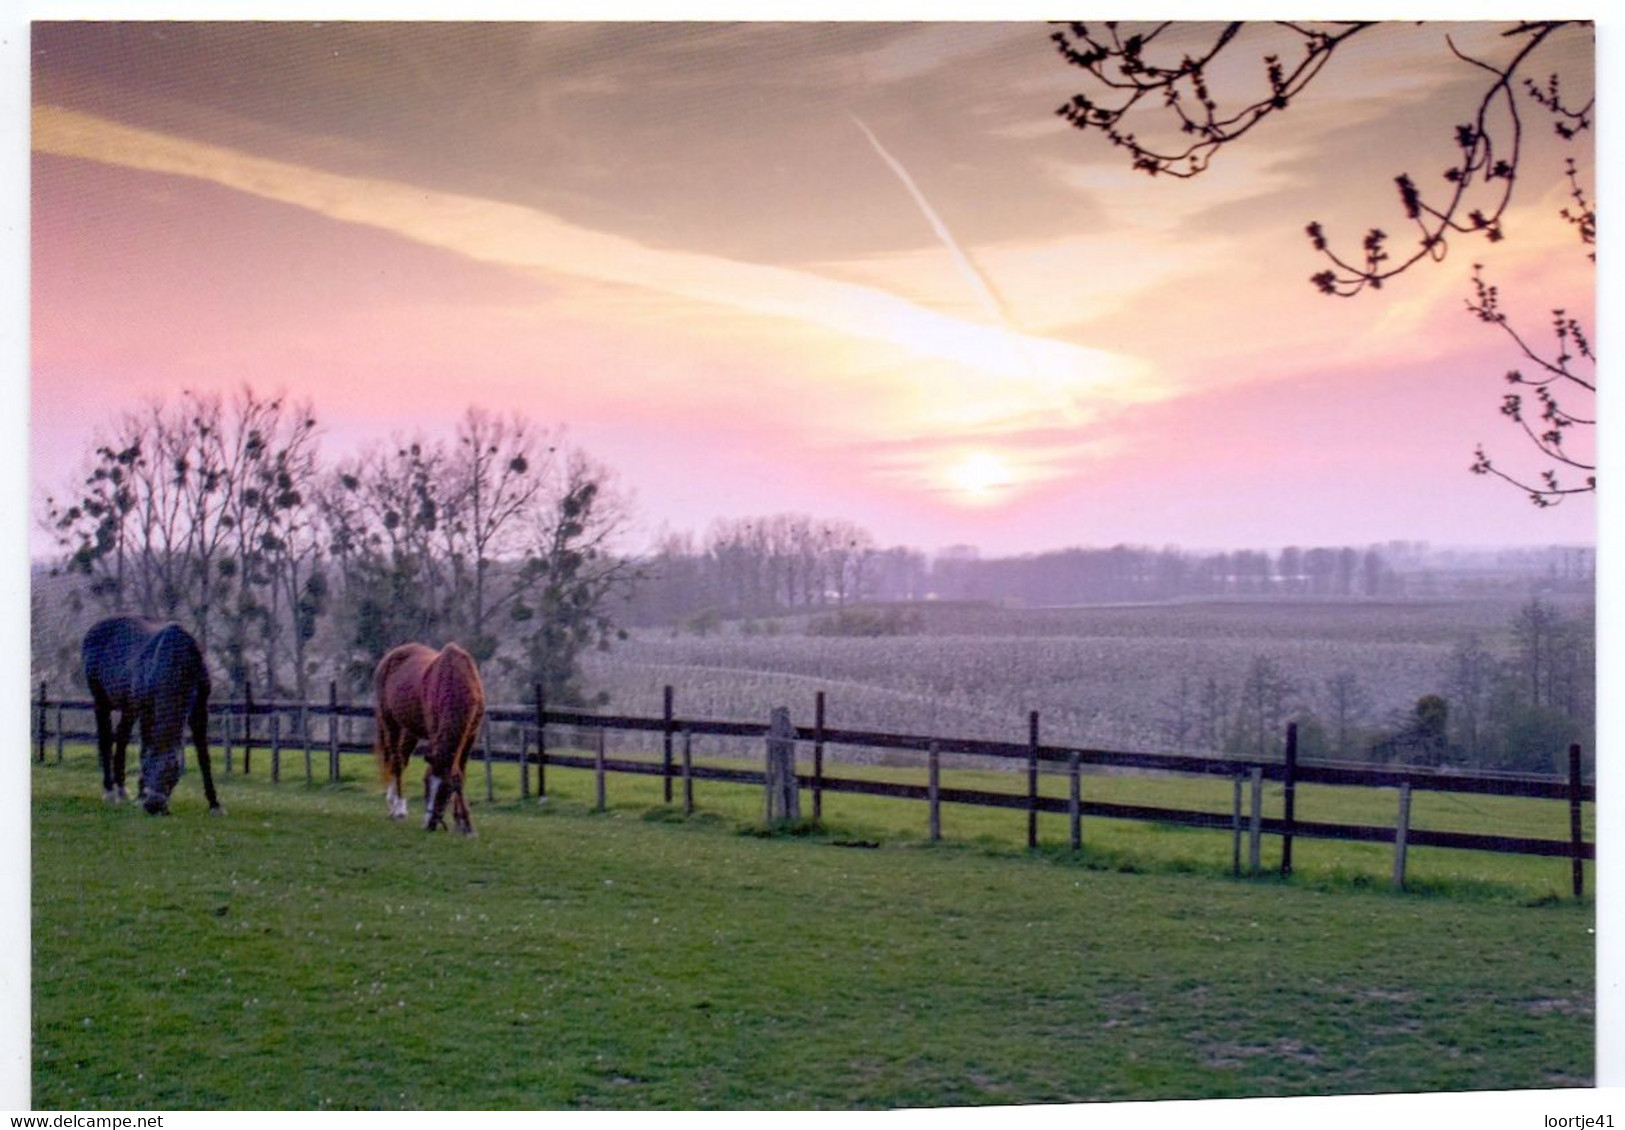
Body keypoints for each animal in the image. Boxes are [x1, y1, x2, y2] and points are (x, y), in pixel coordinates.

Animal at [82, 617, 224, 812]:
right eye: (148, 768)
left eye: (174, 769)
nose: (153, 805)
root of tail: (93, 630)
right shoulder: (146, 711)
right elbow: (144, 750)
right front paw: (141, 795)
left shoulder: (200, 709)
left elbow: (204, 757)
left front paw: (214, 803)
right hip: (101, 701)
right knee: (105, 740)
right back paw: (109, 791)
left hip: (128, 707)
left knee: (122, 737)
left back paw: (122, 790)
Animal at [372, 640, 484, 832]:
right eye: (425, 783)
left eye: (446, 790)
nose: (428, 824)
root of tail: (390, 656)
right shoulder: (435, 733)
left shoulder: (470, 736)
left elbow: (460, 774)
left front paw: (462, 823)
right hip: (390, 723)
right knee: (396, 761)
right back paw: (398, 808)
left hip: (410, 730)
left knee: (402, 759)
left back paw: (394, 804)